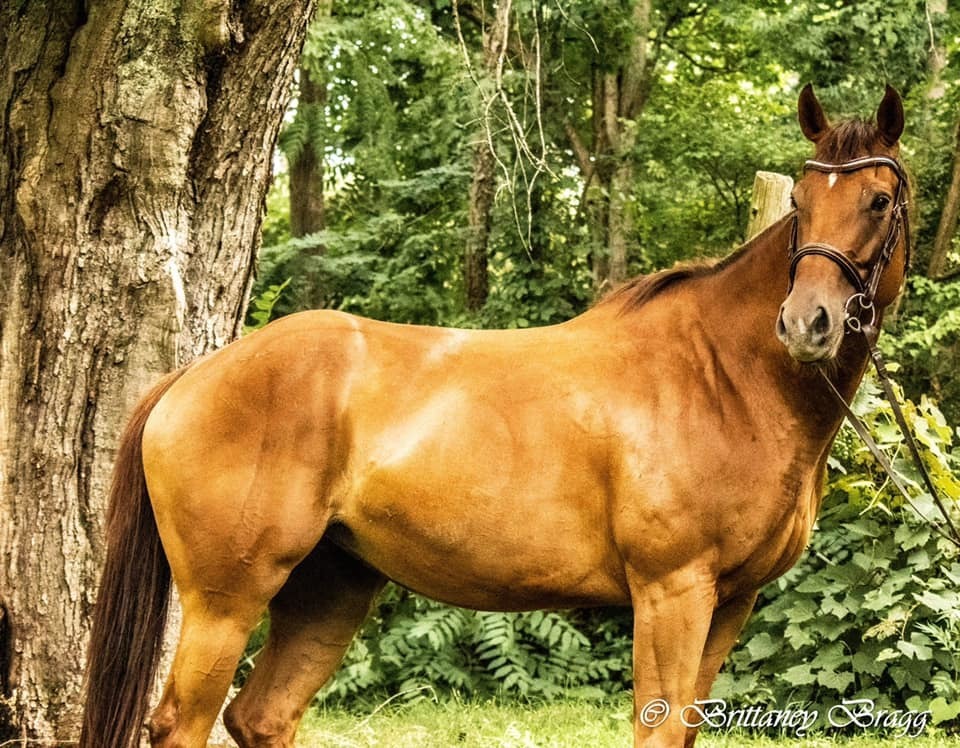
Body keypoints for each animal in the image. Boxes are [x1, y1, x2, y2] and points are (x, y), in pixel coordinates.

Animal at [80, 83, 910, 748]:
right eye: (800, 203)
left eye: (878, 200)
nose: (807, 323)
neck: (723, 377)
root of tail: (192, 376)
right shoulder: (672, 593)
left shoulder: (732, 602)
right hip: (226, 602)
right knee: (182, 724)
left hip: (331, 588)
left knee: (262, 717)